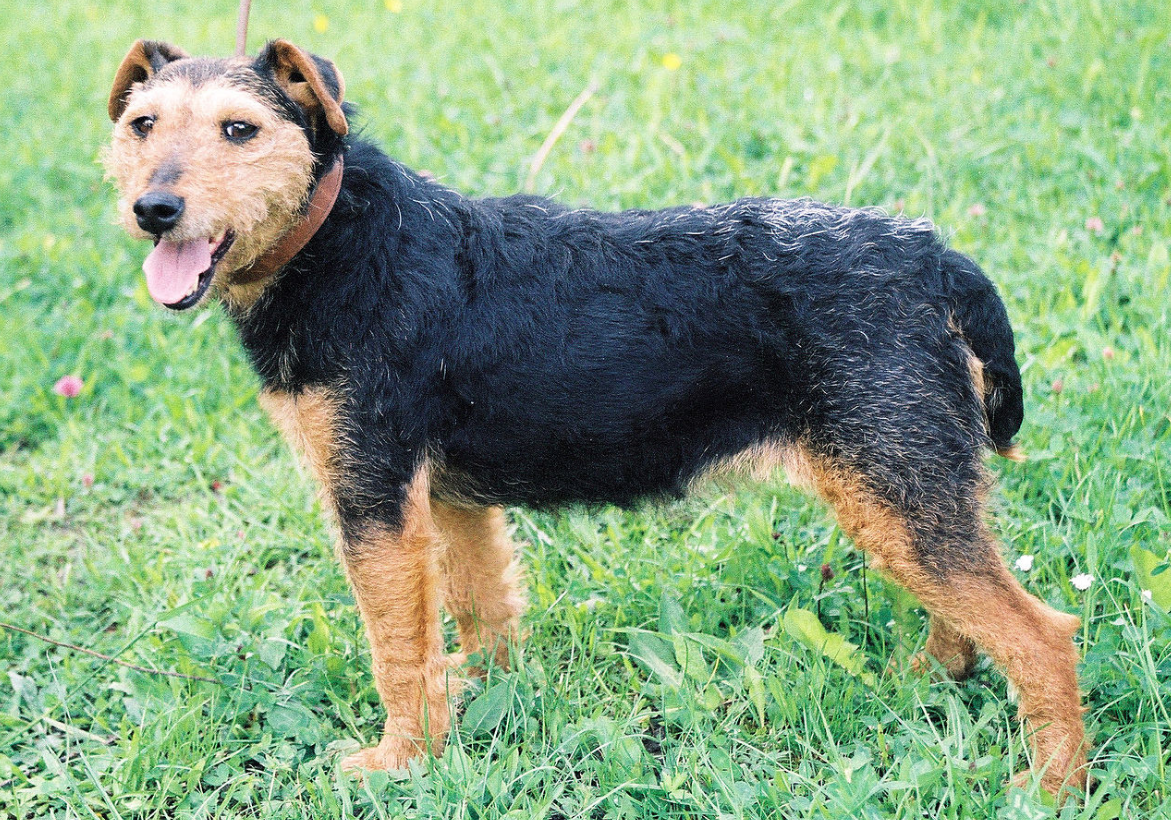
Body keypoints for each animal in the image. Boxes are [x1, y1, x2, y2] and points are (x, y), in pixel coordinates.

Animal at [105, 38, 1091, 796]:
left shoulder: (372, 498)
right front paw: (479, 705)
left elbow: (395, 648)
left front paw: (398, 763)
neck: (343, 239)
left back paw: (1048, 787)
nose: (154, 209)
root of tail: (933, 257)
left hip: (892, 482)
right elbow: (478, 611)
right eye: (140, 124)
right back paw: (924, 680)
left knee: (1043, 637)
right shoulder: (450, 499)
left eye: (241, 129)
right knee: (970, 620)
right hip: (909, 486)